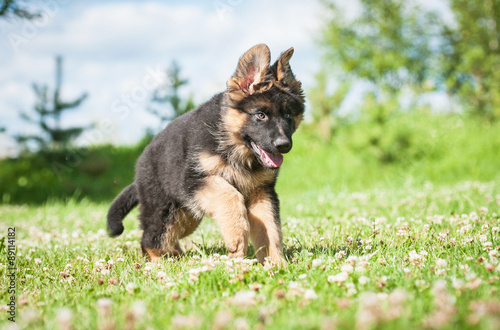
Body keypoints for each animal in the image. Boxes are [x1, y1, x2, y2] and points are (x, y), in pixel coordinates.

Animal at [107, 43, 304, 266]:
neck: (232, 144)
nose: (284, 146)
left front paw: (276, 264)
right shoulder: (196, 179)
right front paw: (237, 238)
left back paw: (175, 255)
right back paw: (160, 263)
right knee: (150, 238)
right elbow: (231, 196)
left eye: (288, 115)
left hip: (187, 215)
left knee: (170, 236)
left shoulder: (261, 191)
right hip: (163, 210)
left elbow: (270, 228)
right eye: (260, 115)